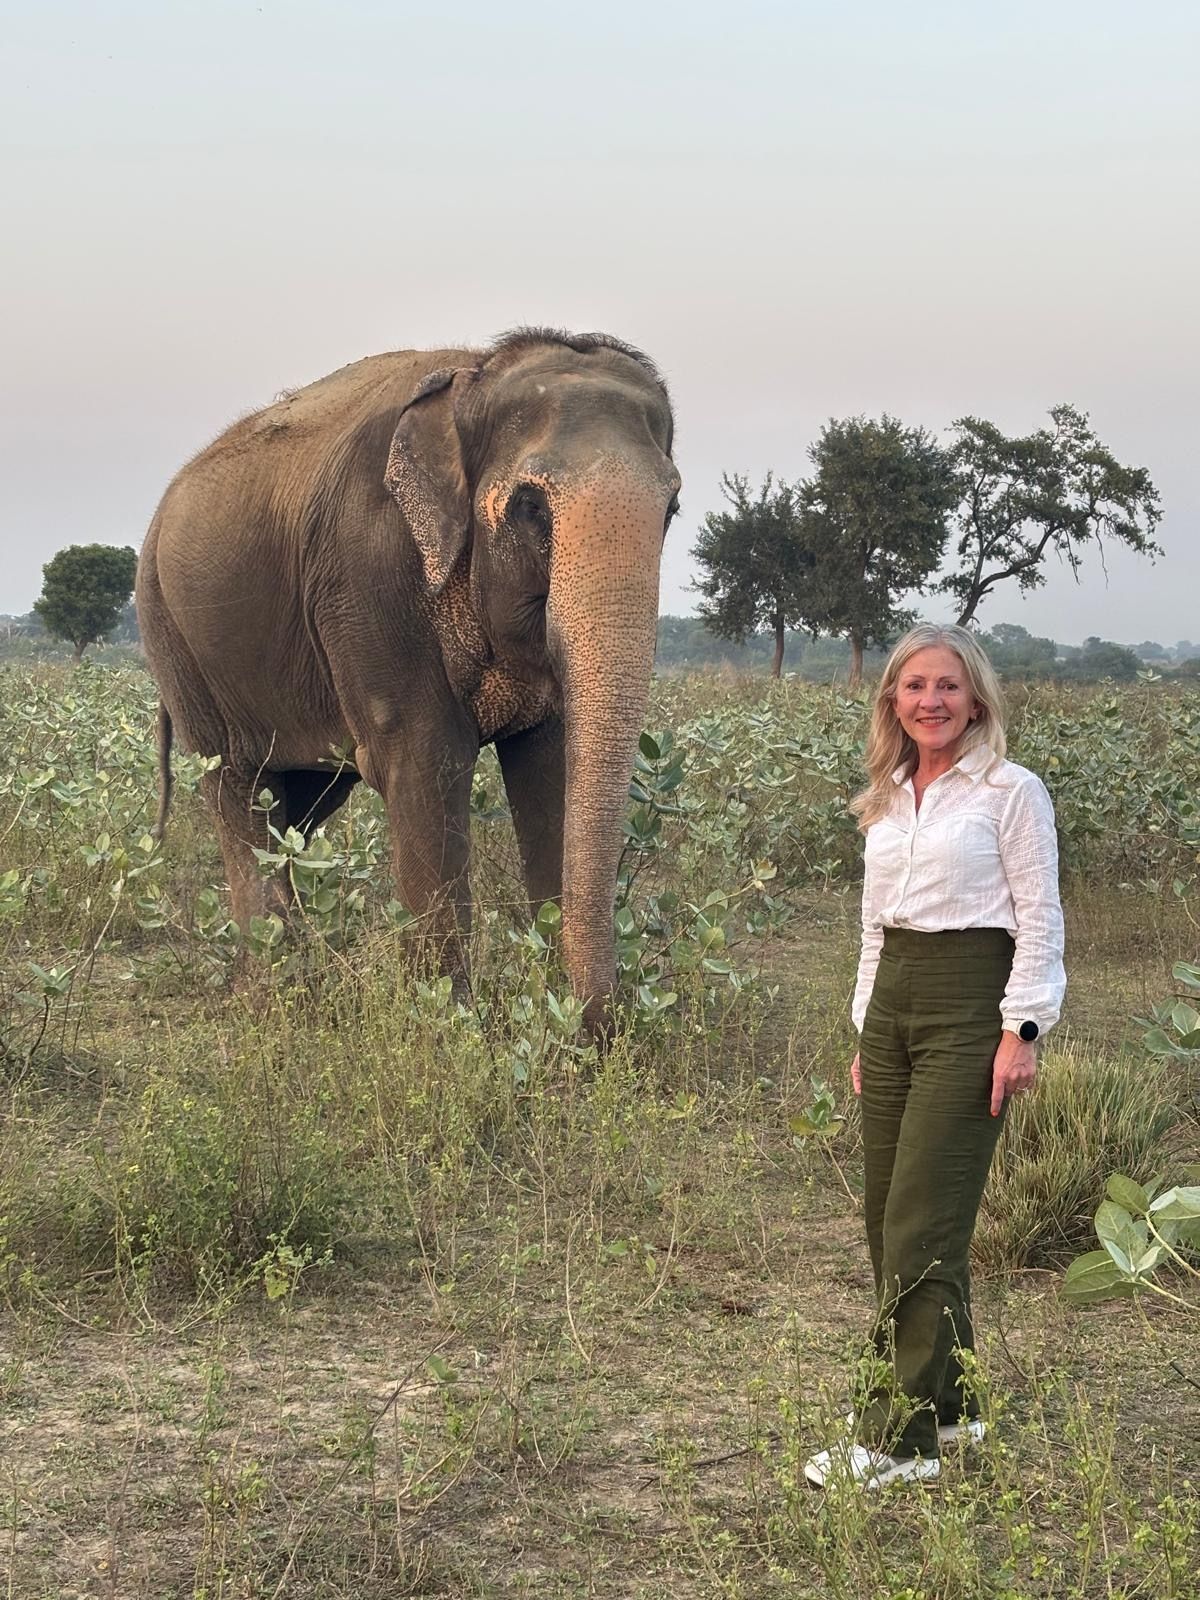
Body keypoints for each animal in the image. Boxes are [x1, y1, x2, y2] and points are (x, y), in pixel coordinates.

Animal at [136, 328, 680, 1030]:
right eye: (531, 506)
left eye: (673, 508)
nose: (597, 1028)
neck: (476, 376)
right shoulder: (366, 572)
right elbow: (426, 758)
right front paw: (448, 1027)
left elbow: (548, 762)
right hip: (174, 635)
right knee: (238, 784)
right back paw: (273, 995)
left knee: (300, 802)